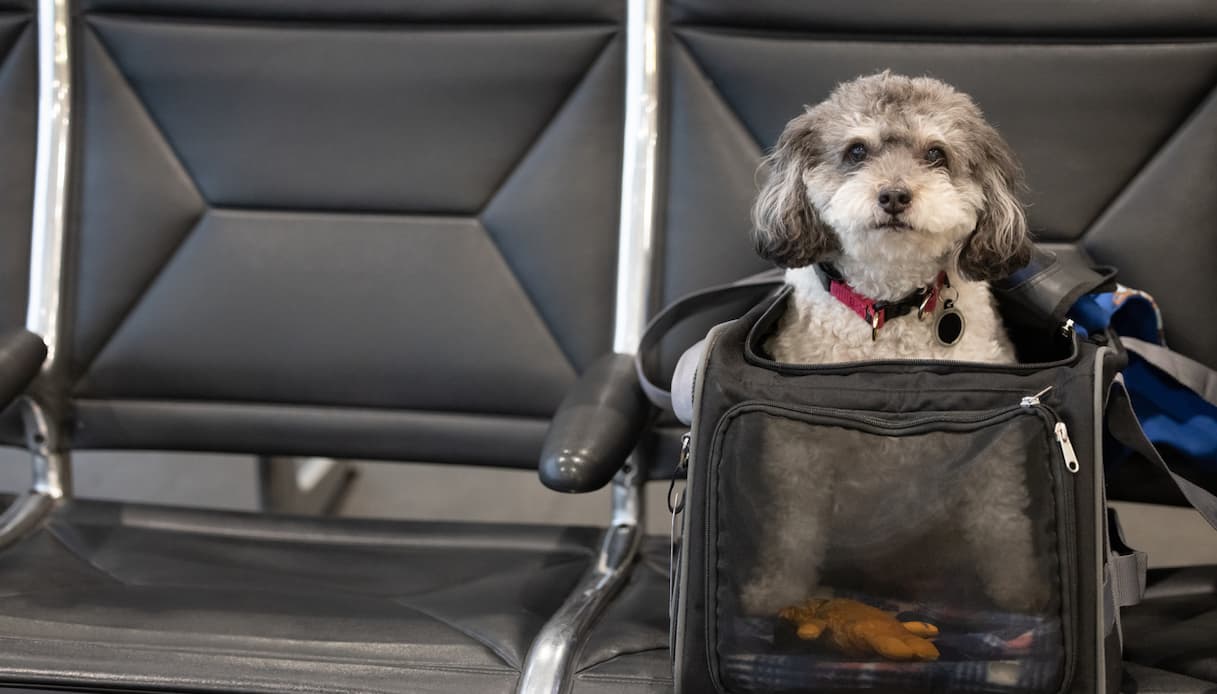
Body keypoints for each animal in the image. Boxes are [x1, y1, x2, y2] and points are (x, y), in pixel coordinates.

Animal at [735, 71, 1051, 616]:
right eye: (857, 151)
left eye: (936, 154)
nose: (895, 196)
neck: (889, 309)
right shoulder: (799, 452)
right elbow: (793, 531)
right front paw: (778, 592)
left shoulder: (993, 450)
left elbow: (1002, 525)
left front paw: (1022, 593)